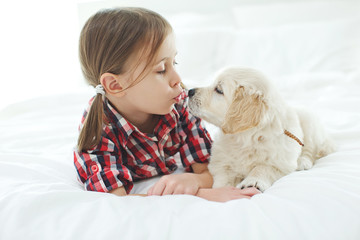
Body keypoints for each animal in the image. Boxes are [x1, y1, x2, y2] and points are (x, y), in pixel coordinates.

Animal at [187, 67, 336, 191]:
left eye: (219, 90)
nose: (189, 91)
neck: (244, 138)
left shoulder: (279, 162)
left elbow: (263, 167)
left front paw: (253, 181)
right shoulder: (221, 164)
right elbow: (223, 179)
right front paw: (221, 190)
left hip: (309, 121)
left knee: (310, 149)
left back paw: (303, 161)